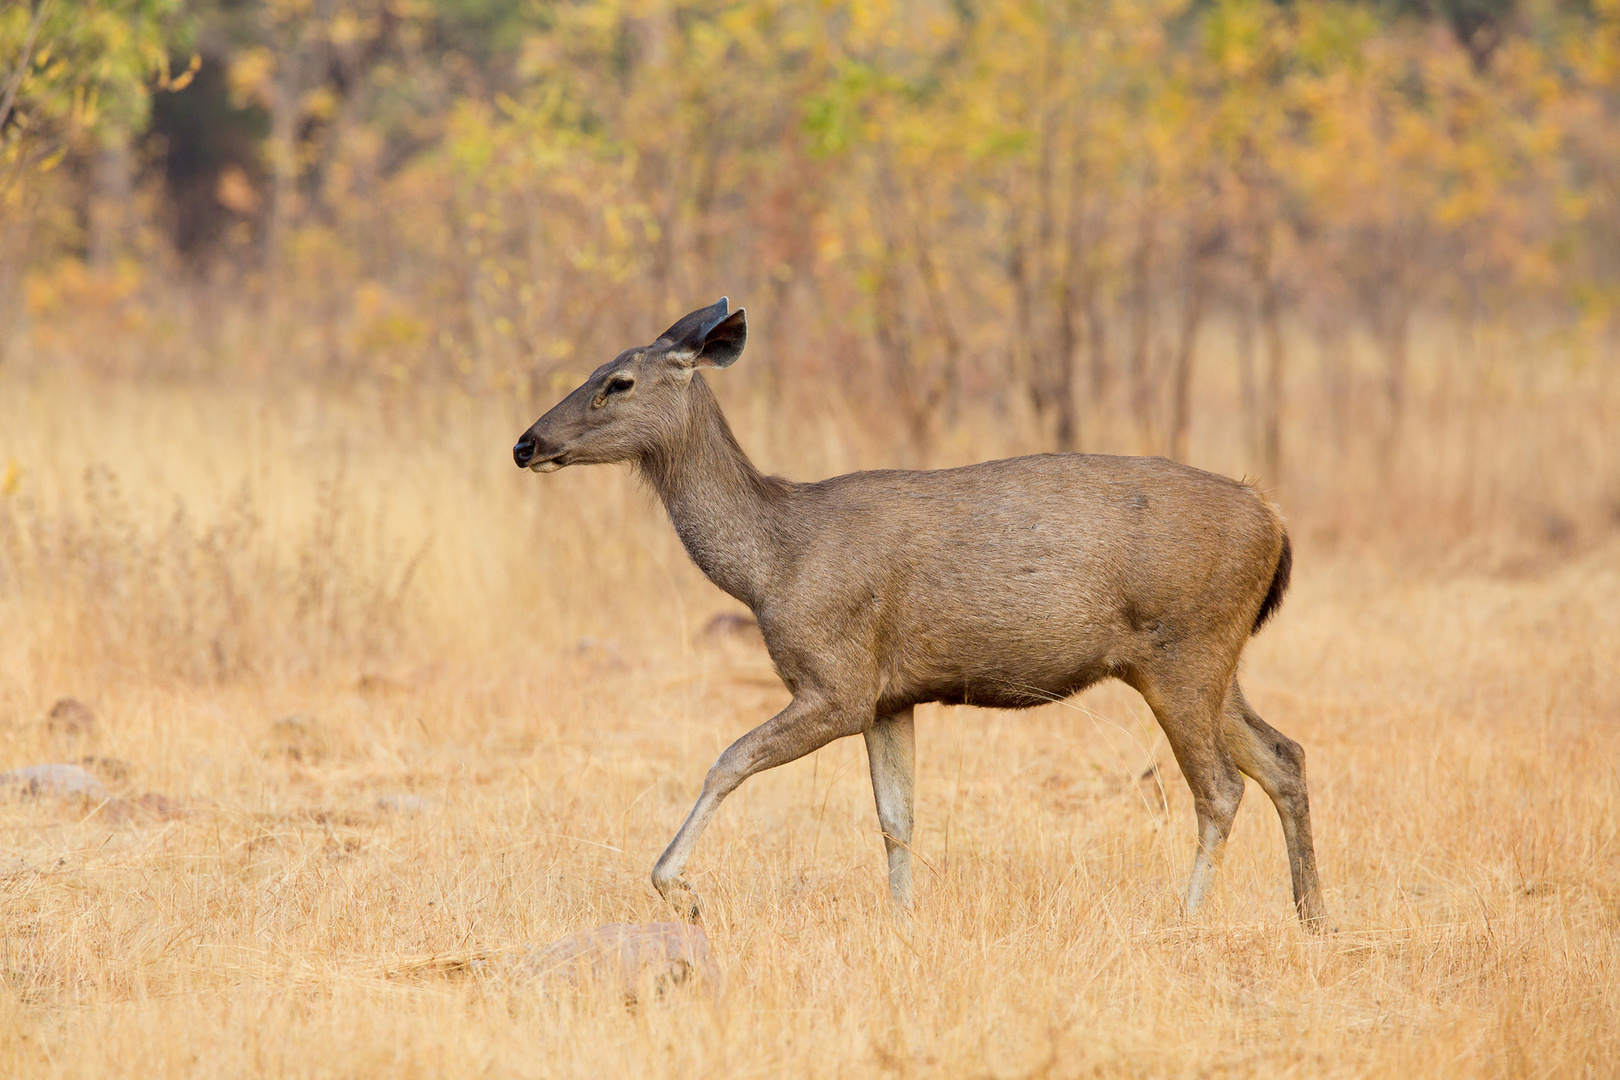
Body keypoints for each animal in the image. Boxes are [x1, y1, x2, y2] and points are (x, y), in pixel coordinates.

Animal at [515, 297, 1328, 932]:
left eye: (617, 381)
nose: (527, 443)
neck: (770, 561)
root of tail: (1275, 521)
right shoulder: (889, 696)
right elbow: (896, 818)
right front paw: (905, 922)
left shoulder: (837, 682)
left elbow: (728, 760)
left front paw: (679, 890)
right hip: (1210, 659)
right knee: (1282, 755)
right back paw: (1313, 915)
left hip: (1183, 650)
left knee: (1220, 787)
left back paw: (1186, 919)